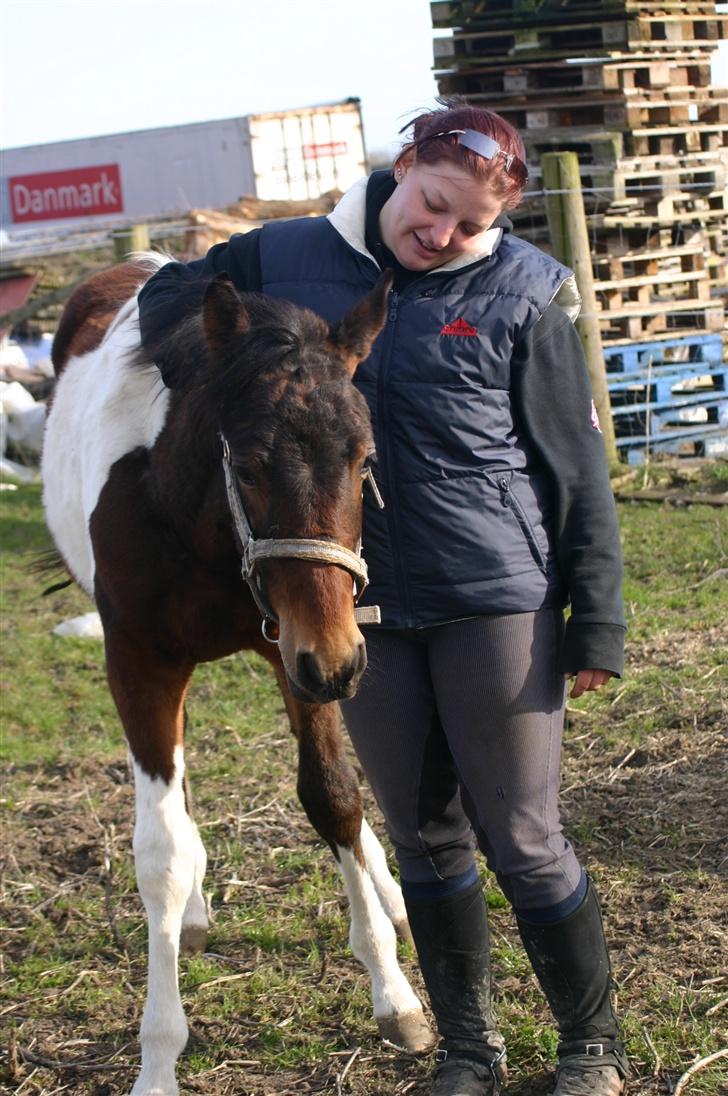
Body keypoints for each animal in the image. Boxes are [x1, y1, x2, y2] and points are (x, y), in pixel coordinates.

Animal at [42, 254, 434, 1096]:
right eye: (250, 465)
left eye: (364, 459)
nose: (343, 663)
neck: (194, 521)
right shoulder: (140, 661)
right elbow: (157, 854)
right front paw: (158, 1059)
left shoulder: (298, 650)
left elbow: (335, 797)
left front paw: (394, 993)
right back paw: (193, 908)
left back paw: (390, 896)